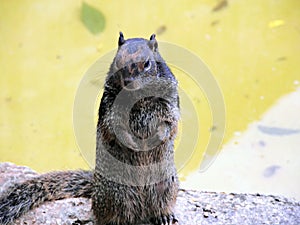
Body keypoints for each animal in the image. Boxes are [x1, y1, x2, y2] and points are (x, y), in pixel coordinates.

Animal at [0, 32, 179, 225]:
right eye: (117, 60)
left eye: (147, 64)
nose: (128, 81)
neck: (138, 96)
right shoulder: (110, 107)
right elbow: (114, 128)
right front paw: (131, 143)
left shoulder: (169, 103)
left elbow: (171, 123)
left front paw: (160, 137)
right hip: (117, 194)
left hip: (165, 186)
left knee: (160, 205)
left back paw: (164, 215)